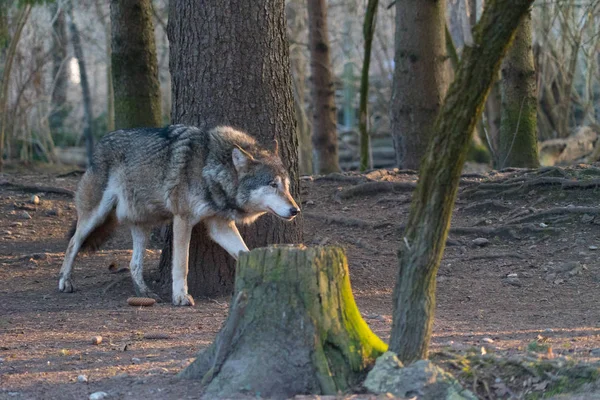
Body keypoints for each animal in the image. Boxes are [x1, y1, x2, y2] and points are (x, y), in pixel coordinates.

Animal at [58, 125, 300, 306]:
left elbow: (244, 251)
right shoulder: (183, 219)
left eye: (287, 186)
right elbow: (181, 264)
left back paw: (144, 293)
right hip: (95, 216)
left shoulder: (220, 226)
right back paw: (64, 282)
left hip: (143, 225)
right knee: (72, 243)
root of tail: (100, 143)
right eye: (272, 184)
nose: (295, 210)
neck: (210, 168)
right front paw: (180, 297)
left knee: (134, 264)